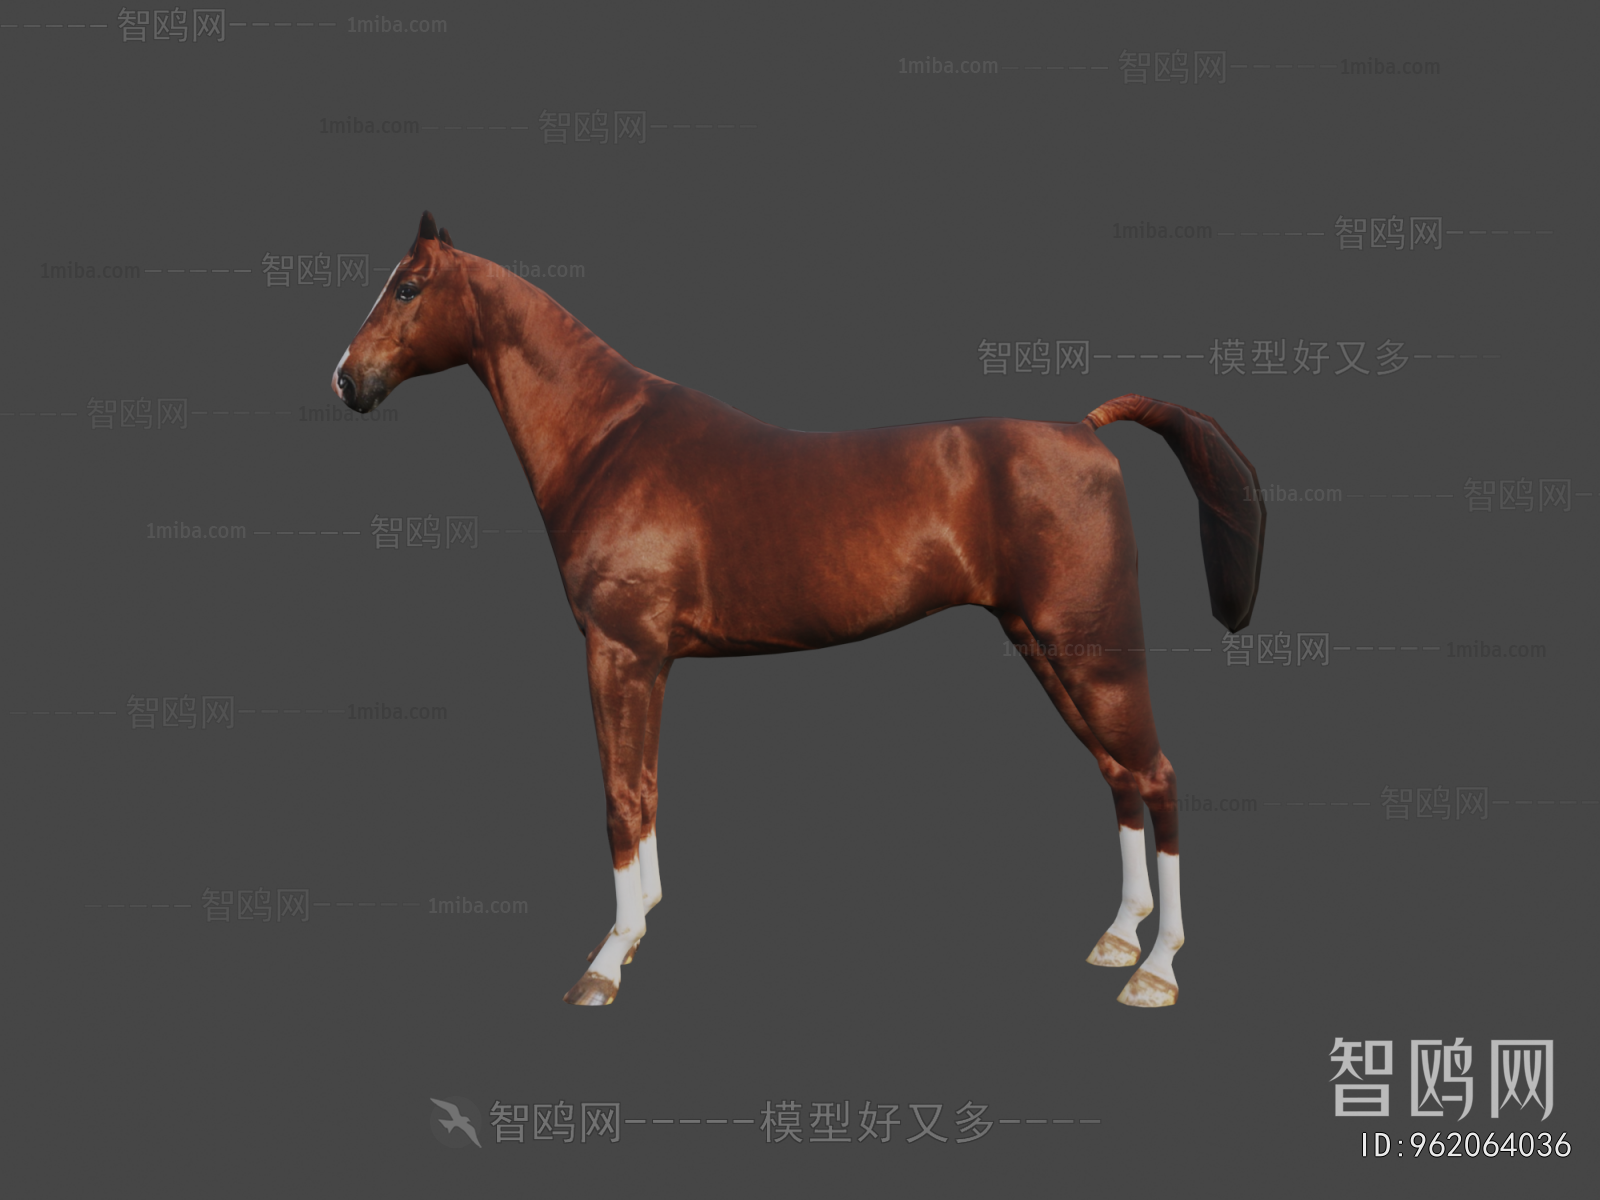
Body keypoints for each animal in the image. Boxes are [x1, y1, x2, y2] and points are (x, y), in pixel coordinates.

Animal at [332, 213, 1266, 1008]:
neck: (608, 442)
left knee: (1156, 776)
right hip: (1044, 645)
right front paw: (638, 929)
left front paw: (605, 962)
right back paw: (1118, 938)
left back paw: (1155, 970)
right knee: (1117, 775)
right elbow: (648, 785)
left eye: (406, 287)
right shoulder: (649, 660)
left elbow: (619, 796)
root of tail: (1085, 430)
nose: (344, 380)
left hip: (1092, 647)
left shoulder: (617, 650)